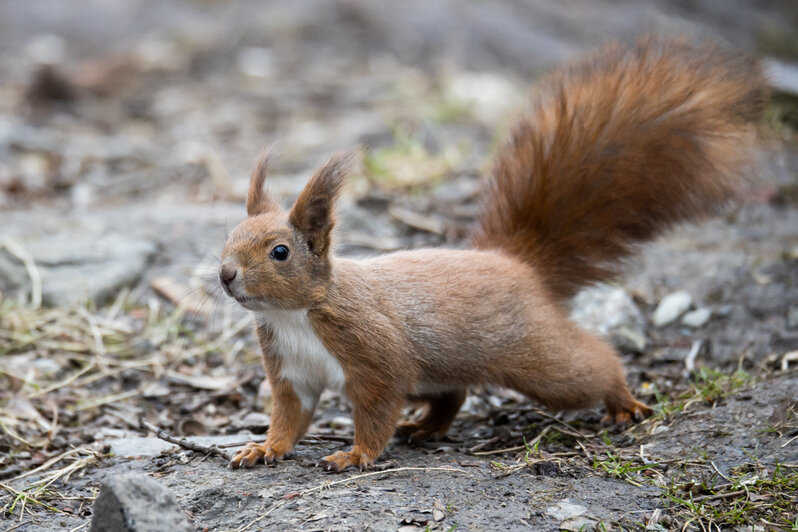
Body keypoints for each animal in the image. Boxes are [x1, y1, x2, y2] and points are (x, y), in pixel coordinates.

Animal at [219, 37, 768, 472]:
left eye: (280, 251)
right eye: (227, 238)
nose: (225, 275)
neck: (295, 315)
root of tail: (518, 264)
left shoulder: (374, 351)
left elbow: (376, 410)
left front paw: (354, 455)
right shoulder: (290, 373)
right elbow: (289, 418)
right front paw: (263, 448)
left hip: (537, 357)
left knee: (589, 364)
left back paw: (623, 400)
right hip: (439, 370)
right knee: (454, 393)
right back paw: (427, 427)